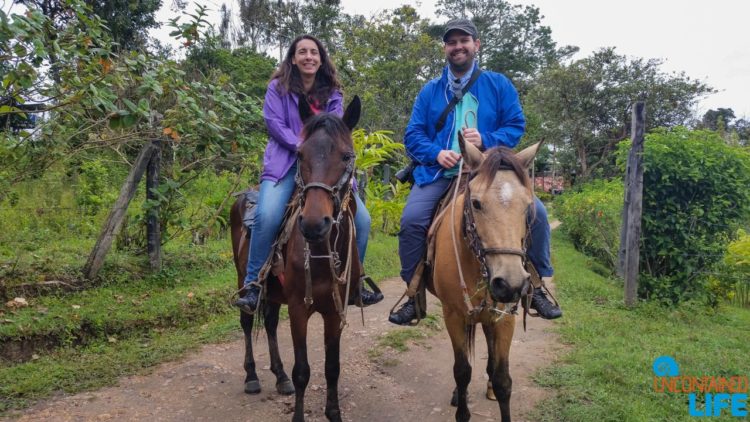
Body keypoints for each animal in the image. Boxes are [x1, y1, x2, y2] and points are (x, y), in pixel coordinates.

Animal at [231, 96, 362, 422]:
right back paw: (252, 376)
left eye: (346, 156)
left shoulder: (335, 311)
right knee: (247, 320)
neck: (321, 254)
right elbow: (302, 370)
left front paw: (334, 413)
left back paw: (279, 377)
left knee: (270, 322)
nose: (314, 224)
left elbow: (332, 368)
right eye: (300, 154)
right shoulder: (299, 309)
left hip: (275, 292)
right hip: (244, 278)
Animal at [426, 137, 544, 420]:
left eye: (528, 206)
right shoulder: (453, 314)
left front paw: (495, 385)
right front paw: (462, 410)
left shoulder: (505, 316)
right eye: (477, 203)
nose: (510, 283)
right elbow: (462, 370)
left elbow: (503, 379)